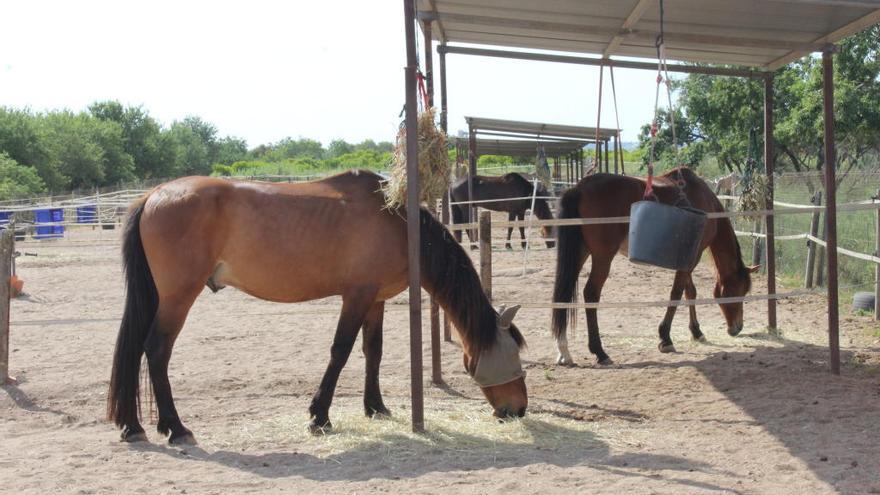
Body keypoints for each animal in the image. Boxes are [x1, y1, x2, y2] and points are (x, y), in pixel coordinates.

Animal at [106, 170, 524, 446]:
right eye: (514, 357)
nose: (518, 410)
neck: (396, 220)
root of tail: (153, 195)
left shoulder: (375, 299)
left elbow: (373, 351)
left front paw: (376, 407)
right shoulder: (356, 296)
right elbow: (340, 352)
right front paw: (319, 417)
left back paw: (134, 425)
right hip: (178, 296)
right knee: (157, 350)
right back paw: (175, 427)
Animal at [552, 169, 756, 366]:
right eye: (737, 292)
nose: (737, 328)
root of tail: (578, 188)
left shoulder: (687, 256)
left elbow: (689, 292)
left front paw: (696, 332)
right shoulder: (694, 256)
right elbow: (677, 293)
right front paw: (665, 338)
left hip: (580, 251)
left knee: (563, 293)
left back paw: (564, 352)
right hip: (602, 257)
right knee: (591, 293)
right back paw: (600, 352)